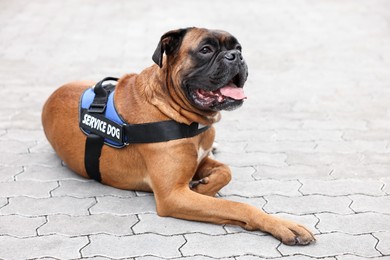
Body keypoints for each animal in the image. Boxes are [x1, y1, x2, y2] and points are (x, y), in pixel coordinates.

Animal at [42, 27, 314, 245]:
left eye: (238, 48)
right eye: (205, 49)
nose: (236, 56)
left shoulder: (200, 159)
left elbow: (226, 171)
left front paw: (204, 185)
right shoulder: (173, 195)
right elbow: (237, 206)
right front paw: (282, 225)